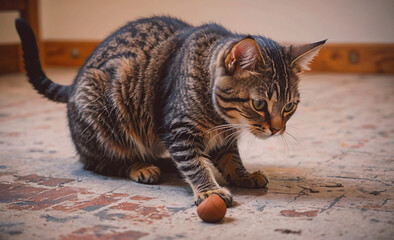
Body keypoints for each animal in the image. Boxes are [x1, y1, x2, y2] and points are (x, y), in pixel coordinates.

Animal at [15, 16, 324, 206]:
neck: (221, 118)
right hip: (104, 114)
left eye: (289, 106)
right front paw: (209, 189)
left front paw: (242, 175)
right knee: (99, 161)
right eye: (259, 104)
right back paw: (141, 165)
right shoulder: (178, 130)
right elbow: (194, 163)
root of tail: (74, 83)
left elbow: (231, 157)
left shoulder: (224, 137)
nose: (277, 129)